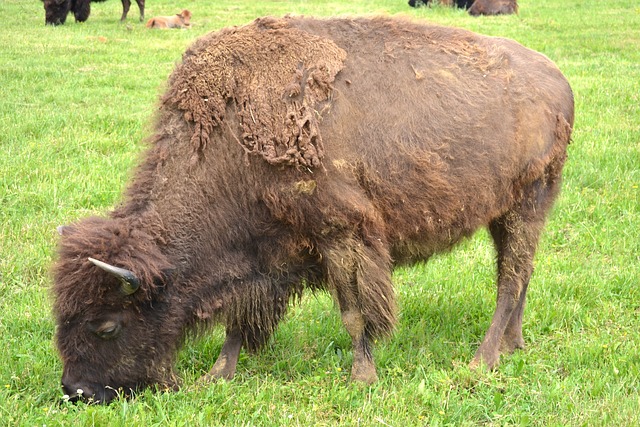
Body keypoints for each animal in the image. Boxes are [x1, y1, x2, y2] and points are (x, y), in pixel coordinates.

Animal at [53, 15, 576, 402]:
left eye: (106, 326)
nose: (76, 391)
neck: (231, 144)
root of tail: (557, 79)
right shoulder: (263, 257)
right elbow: (240, 320)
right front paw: (217, 374)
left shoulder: (341, 235)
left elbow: (354, 313)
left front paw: (361, 378)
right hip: (509, 213)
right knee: (519, 273)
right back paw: (513, 346)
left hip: (527, 204)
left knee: (510, 280)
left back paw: (482, 361)